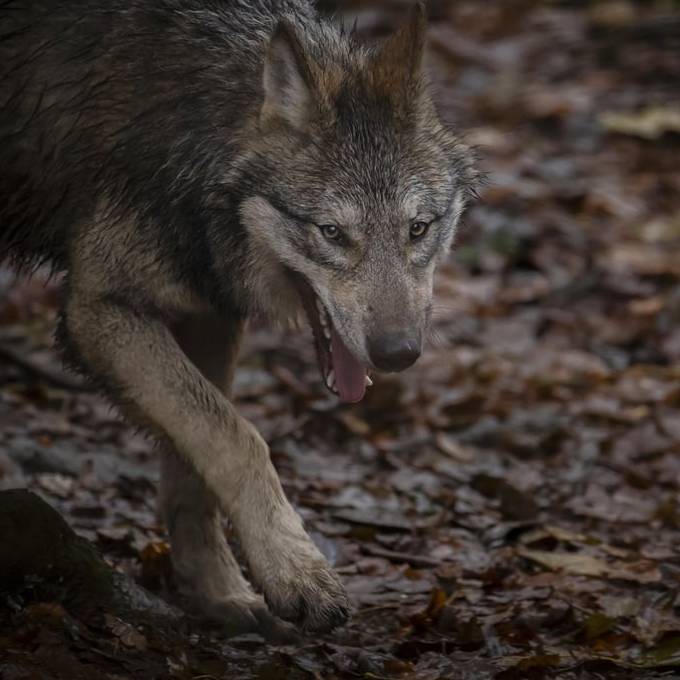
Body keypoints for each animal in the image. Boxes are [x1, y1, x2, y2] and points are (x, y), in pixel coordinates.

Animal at [0, 0, 478, 636]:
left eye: (418, 229)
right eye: (332, 233)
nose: (398, 353)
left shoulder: (210, 312)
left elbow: (196, 463)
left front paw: (219, 591)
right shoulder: (99, 310)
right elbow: (237, 437)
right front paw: (297, 573)